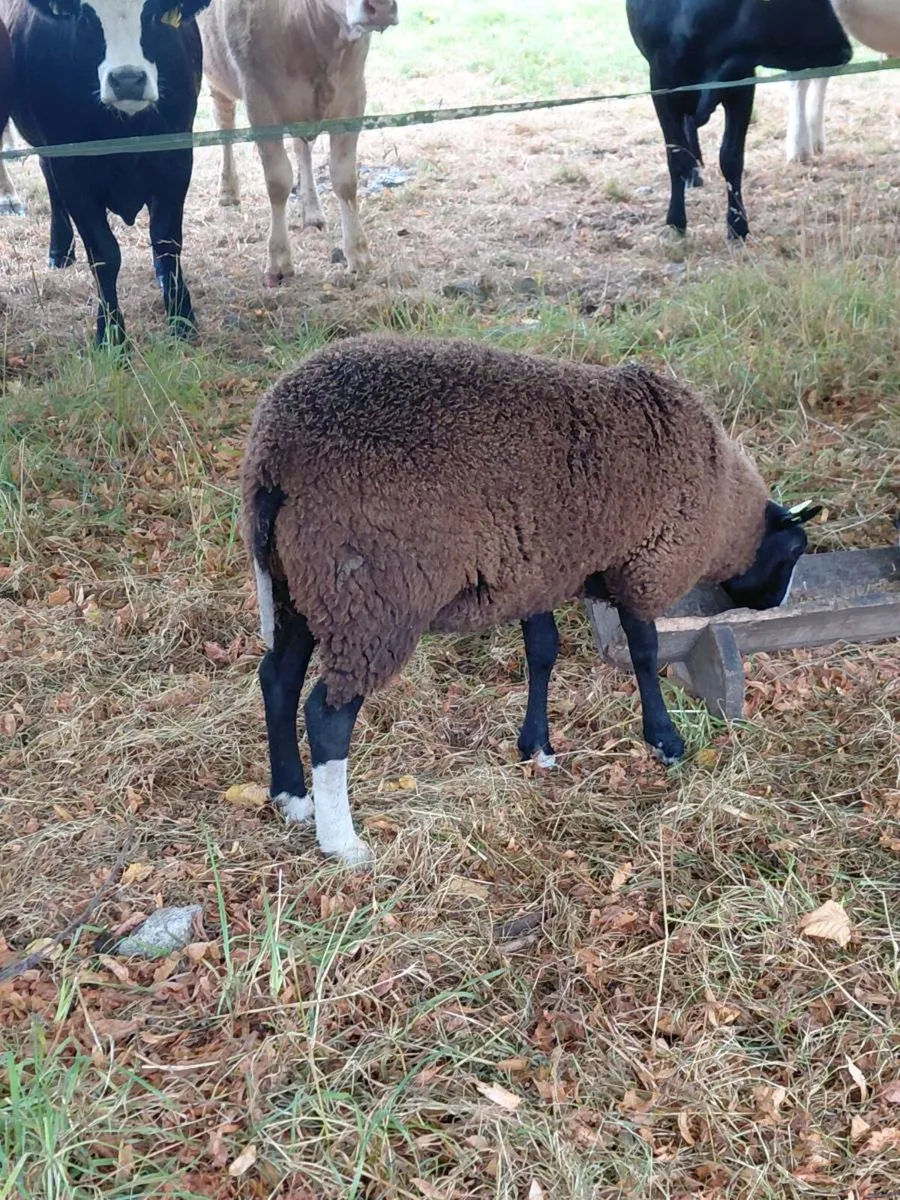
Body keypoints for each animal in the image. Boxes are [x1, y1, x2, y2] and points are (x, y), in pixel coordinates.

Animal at [241, 335, 821, 867]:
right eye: (796, 549)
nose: (775, 606)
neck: (724, 507)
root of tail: (275, 459)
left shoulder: (535, 571)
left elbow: (543, 650)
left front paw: (537, 746)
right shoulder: (643, 565)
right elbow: (644, 652)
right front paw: (664, 740)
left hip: (300, 587)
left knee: (278, 679)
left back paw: (292, 797)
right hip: (371, 598)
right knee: (326, 715)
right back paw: (343, 842)